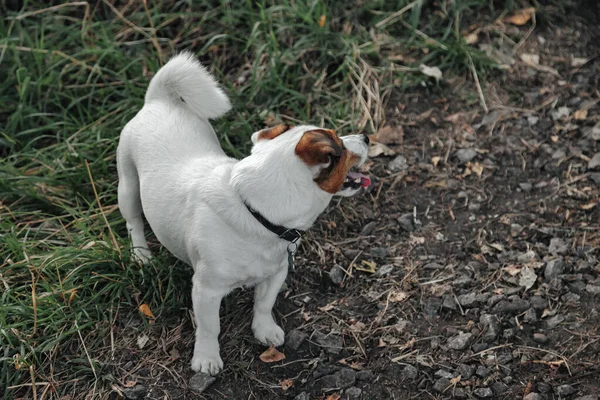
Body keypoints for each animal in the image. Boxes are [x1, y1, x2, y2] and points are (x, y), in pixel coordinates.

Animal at [115, 53, 370, 376]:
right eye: (341, 144)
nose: (366, 136)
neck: (256, 211)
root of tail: (159, 100)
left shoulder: (276, 272)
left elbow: (263, 304)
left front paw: (264, 330)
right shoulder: (206, 290)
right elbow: (210, 328)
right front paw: (206, 358)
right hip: (127, 185)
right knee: (133, 220)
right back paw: (140, 254)